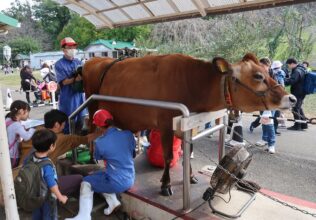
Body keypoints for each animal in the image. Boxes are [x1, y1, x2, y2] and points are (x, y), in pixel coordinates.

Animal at [81, 52, 296, 196]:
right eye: (258, 76)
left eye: (267, 71)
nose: (292, 98)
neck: (193, 85)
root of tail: (96, 59)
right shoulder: (165, 123)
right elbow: (168, 157)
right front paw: (166, 185)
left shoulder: (190, 125)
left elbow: (188, 152)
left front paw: (191, 177)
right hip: (91, 106)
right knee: (90, 130)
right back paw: (92, 158)